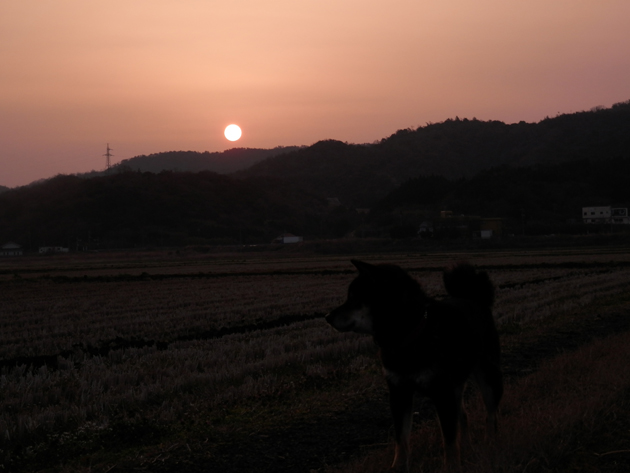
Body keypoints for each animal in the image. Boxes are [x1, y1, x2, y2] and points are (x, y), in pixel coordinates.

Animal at [326, 260, 504, 470]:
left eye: (354, 298)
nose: (327, 317)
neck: (407, 338)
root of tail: (475, 297)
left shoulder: (442, 393)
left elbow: (449, 440)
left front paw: (452, 467)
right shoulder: (399, 392)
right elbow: (401, 439)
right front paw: (398, 467)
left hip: (488, 378)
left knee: (491, 416)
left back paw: (490, 445)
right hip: (456, 386)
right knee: (464, 416)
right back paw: (468, 448)